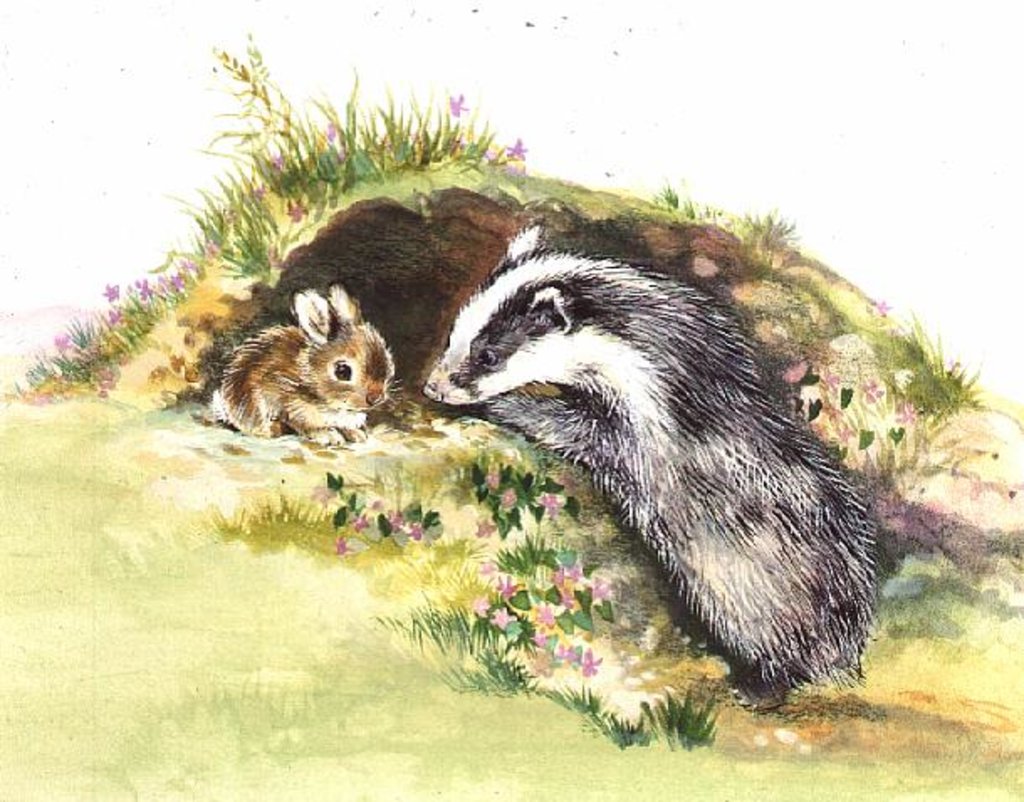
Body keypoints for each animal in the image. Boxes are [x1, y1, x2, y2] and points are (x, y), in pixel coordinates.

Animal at [211, 284, 395, 446]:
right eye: (342, 371)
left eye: (388, 362)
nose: (376, 398)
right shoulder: (291, 406)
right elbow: (307, 426)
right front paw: (329, 436)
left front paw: (356, 434)